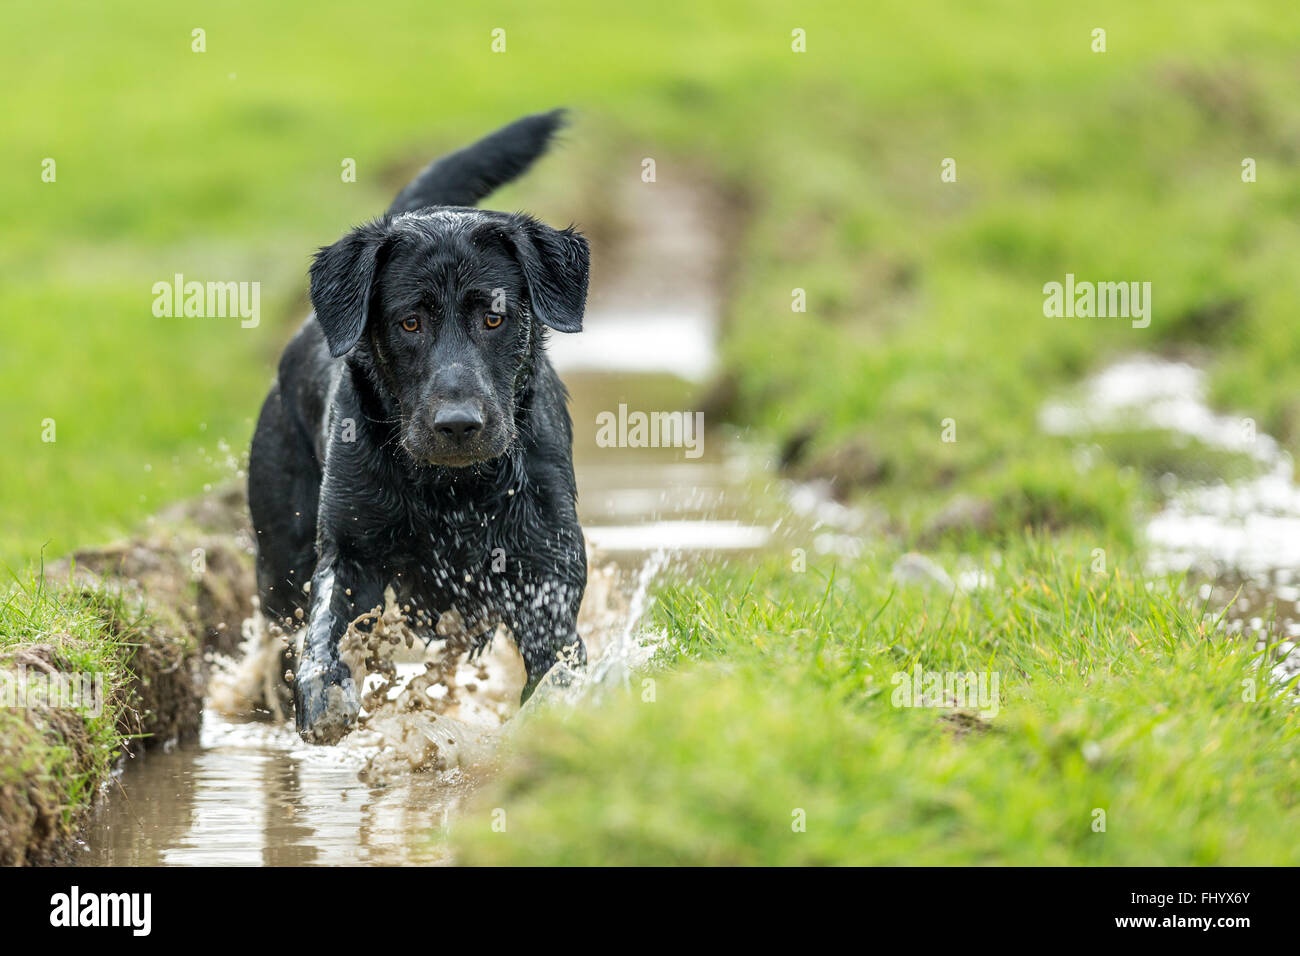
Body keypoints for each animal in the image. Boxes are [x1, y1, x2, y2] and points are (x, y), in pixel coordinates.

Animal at [246, 108, 590, 743]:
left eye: (494, 317)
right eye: (409, 322)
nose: (458, 424)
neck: (452, 491)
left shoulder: (546, 571)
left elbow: (556, 667)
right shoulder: (349, 552)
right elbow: (323, 631)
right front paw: (324, 695)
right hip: (278, 561)